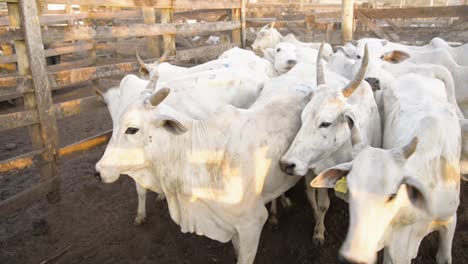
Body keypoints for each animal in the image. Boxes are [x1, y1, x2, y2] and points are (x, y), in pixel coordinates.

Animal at [280, 44, 382, 244]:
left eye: (325, 123)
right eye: (302, 117)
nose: (286, 164)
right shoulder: (317, 170)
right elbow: (321, 203)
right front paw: (319, 232)